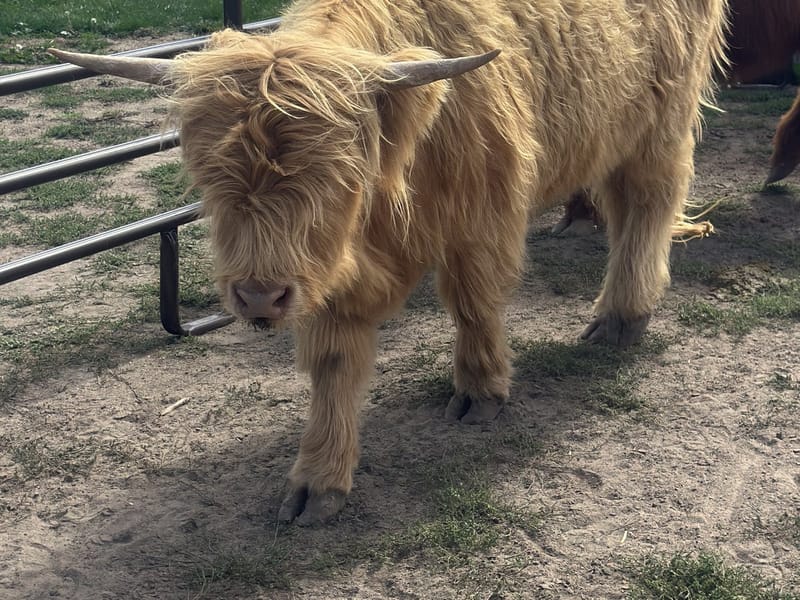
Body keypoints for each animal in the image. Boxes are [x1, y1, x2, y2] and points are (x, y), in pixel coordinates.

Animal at [50, 0, 728, 525]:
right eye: (208, 177)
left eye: (334, 178)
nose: (260, 299)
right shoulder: (331, 273)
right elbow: (333, 362)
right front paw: (319, 479)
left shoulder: (480, 217)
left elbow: (475, 303)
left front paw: (481, 392)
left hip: (660, 119)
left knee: (648, 204)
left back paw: (621, 318)